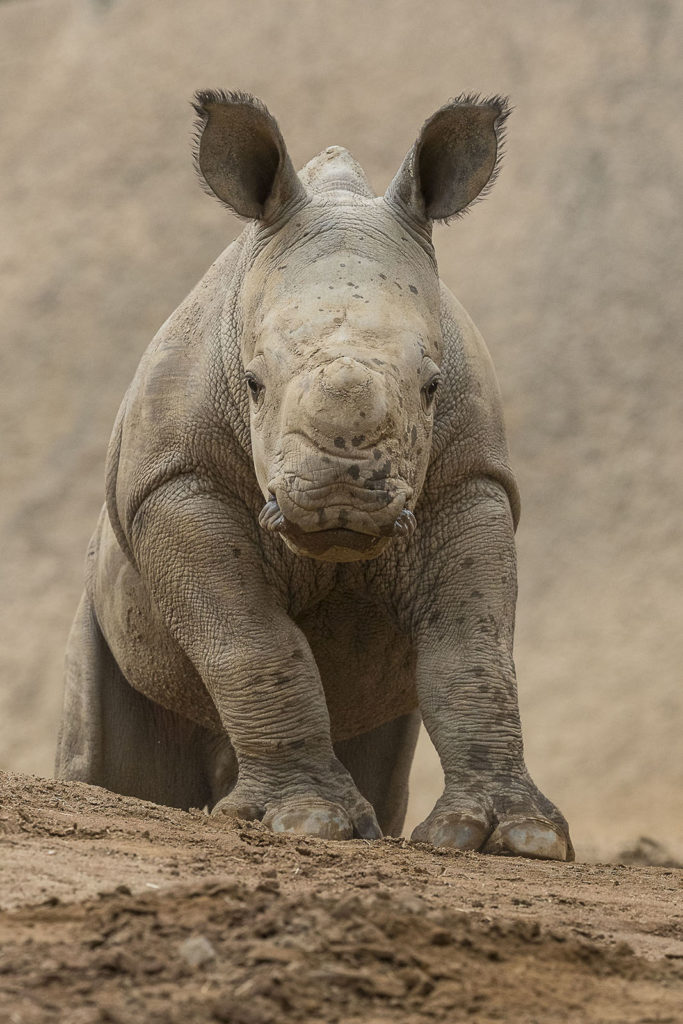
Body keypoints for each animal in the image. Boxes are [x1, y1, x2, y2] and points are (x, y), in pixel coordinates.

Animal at [57, 88, 573, 860]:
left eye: (431, 385)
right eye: (251, 382)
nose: (342, 496)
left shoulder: (472, 484)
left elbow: (473, 650)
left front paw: (515, 838)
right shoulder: (174, 485)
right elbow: (250, 641)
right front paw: (306, 821)